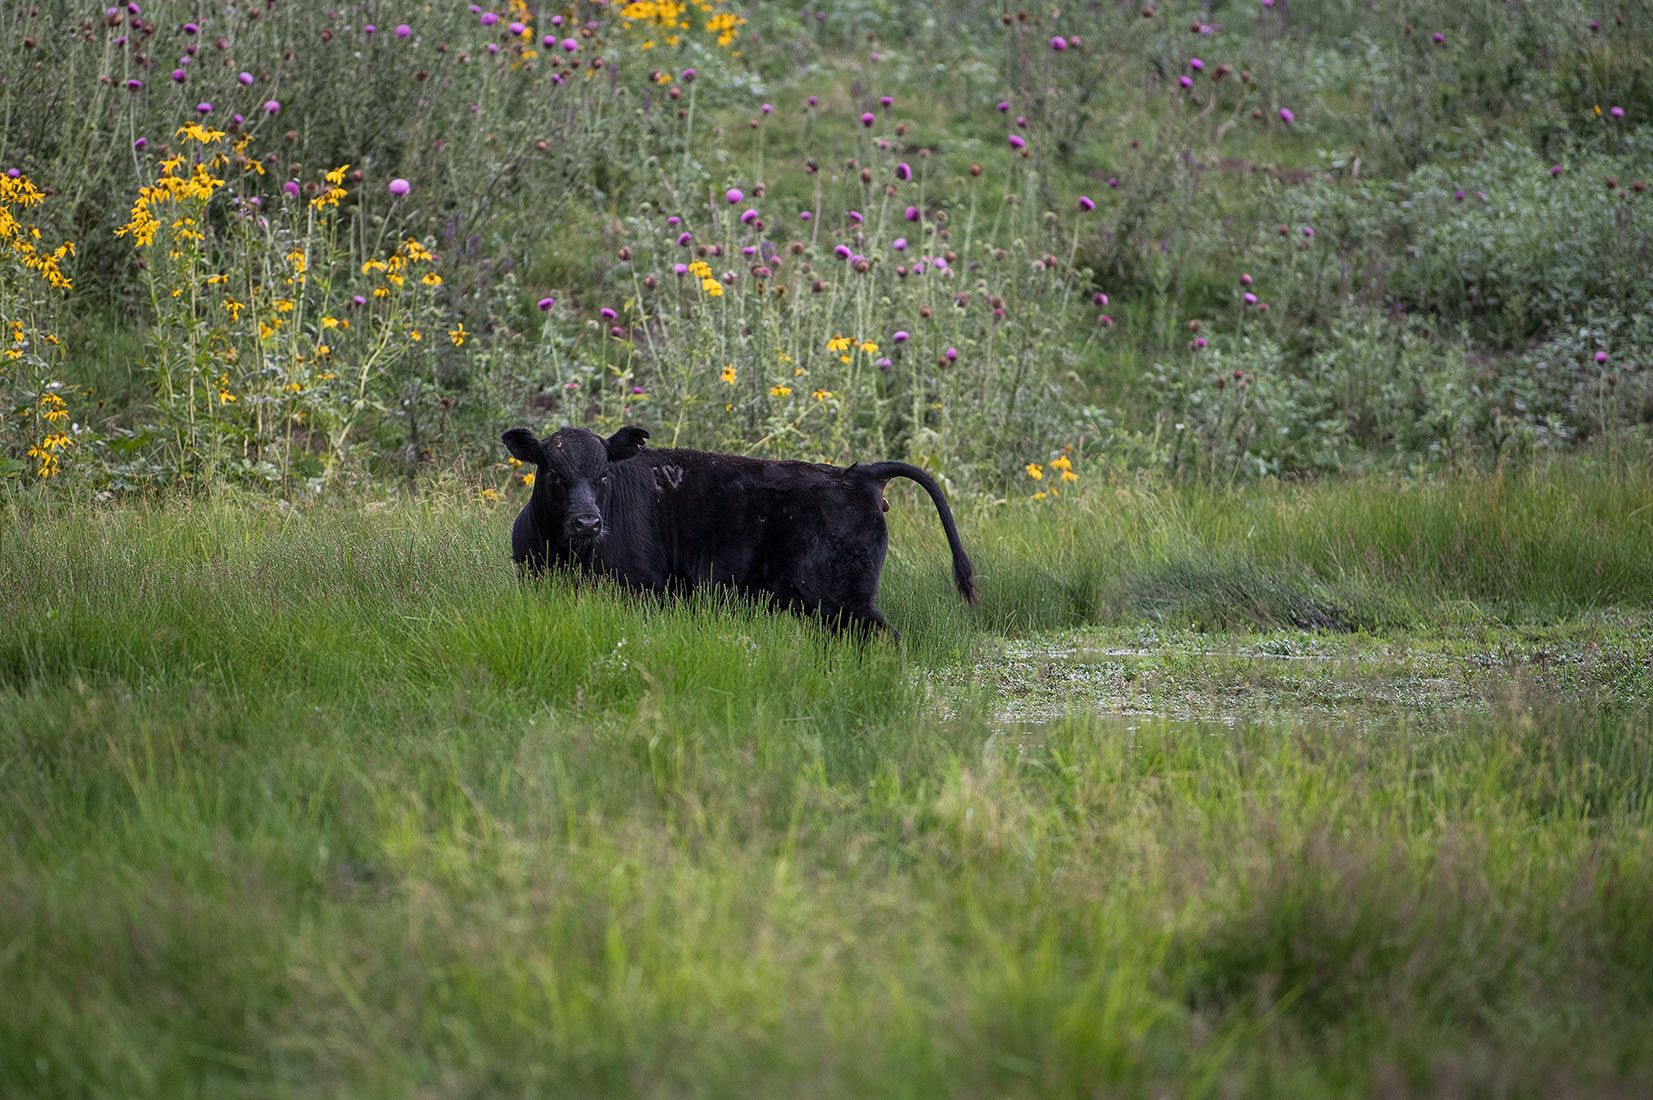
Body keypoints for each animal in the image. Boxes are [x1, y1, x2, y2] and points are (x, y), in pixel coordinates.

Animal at [501, 424, 977, 637]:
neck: (566, 553)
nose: (588, 522)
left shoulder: (641, 589)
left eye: (603, 475)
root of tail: (857, 474)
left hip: (845, 600)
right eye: (553, 474)